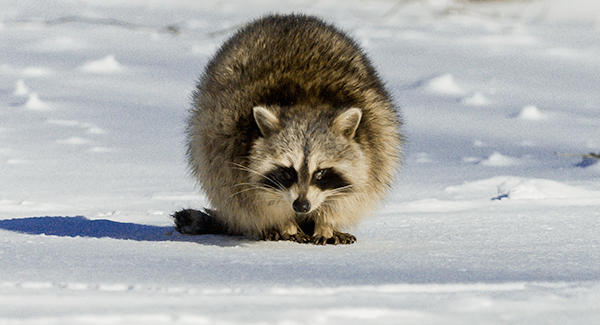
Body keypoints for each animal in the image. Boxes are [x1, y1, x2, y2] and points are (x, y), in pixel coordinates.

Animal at [173, 13, 404, 244]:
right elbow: (257, 201)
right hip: (208, 139)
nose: (301, 205)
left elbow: (352, 194)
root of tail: (289, 17)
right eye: (286, 171)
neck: (306, 103)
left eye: (321, 172)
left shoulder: (375, 147)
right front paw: (286, 225)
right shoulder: (232, 156)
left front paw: (326, 224)